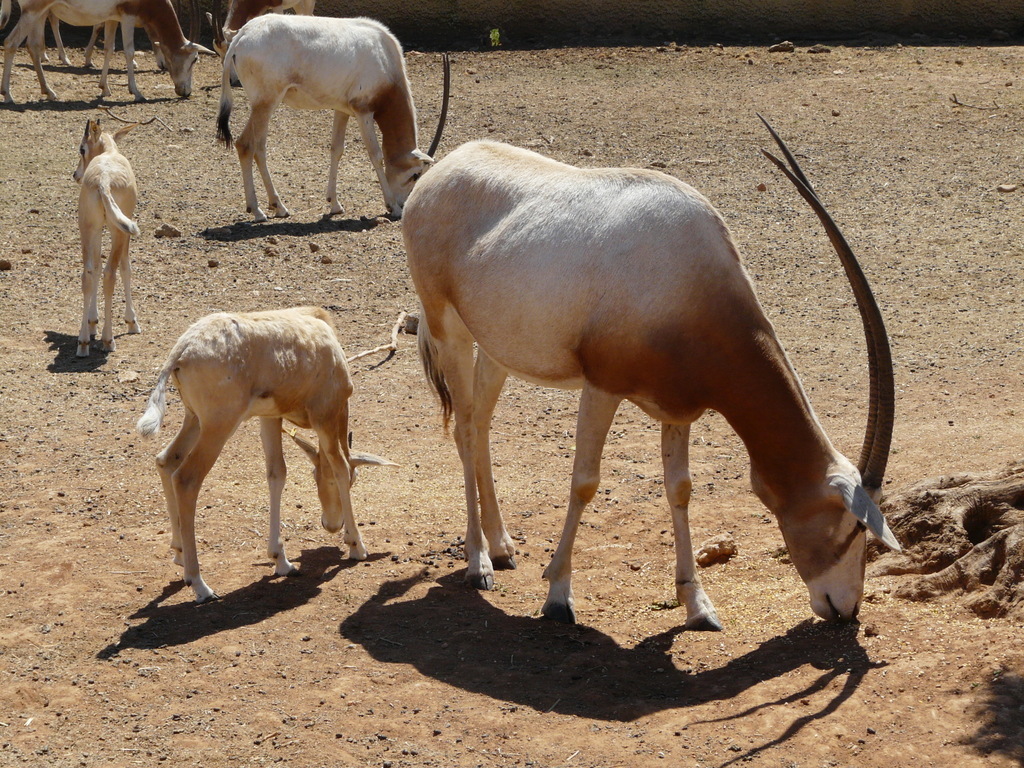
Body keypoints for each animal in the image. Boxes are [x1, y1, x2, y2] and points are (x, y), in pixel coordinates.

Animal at [142, 309, 397, 606]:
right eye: (355, 480)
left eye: (313, 474)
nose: (331, 524)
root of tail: (182, 350)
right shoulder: (326, 415)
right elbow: (340, 466)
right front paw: (357, 545)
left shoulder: (270, 417)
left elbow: (277, 473)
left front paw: (281, 561)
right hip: (219, 426)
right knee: (186, 478)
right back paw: (200, 586)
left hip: (194, 419)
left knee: (166, 460)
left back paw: (179, 554)